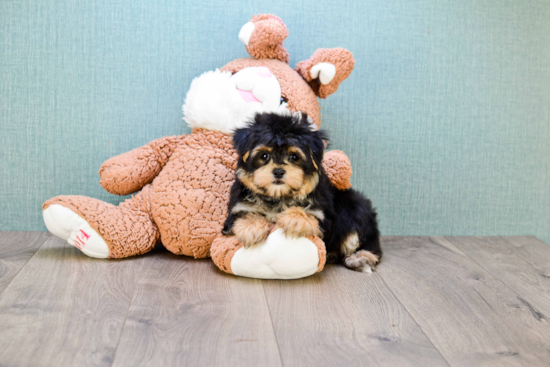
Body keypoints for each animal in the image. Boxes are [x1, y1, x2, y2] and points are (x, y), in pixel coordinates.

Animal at [222, 112, 382, 274]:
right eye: (264, 156)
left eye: (294, 157)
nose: (278, 171)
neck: (278, 196)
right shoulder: (239, 207)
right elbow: (243, 216)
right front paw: (252, 226)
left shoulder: (322, 217)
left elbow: (309, 215)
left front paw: (294, 218)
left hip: (355, 207)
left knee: (366, 242)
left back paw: (359, 258)